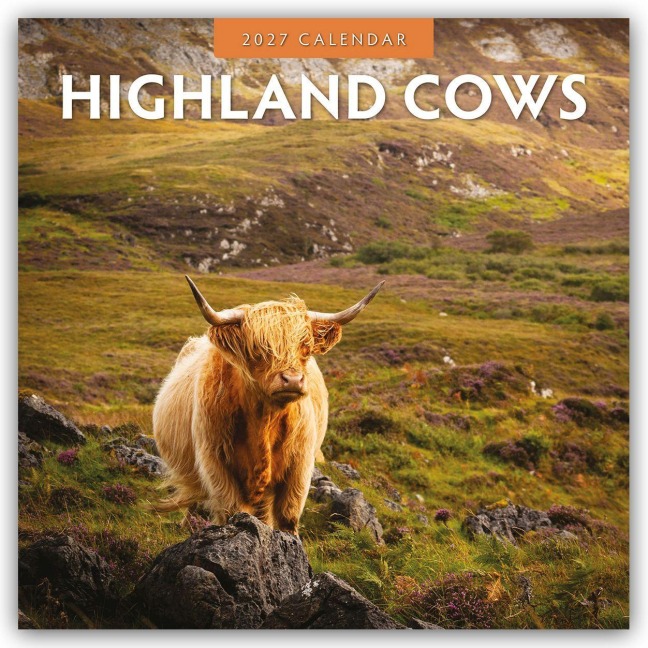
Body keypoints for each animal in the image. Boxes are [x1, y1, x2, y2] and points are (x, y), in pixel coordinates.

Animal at [152, 276, 384, 535]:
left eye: (305, 348)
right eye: (258, 348)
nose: (292, 379)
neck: (265, 420)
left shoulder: (300, 466)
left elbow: (288, 515)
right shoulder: (215, 463)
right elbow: (231, 511)